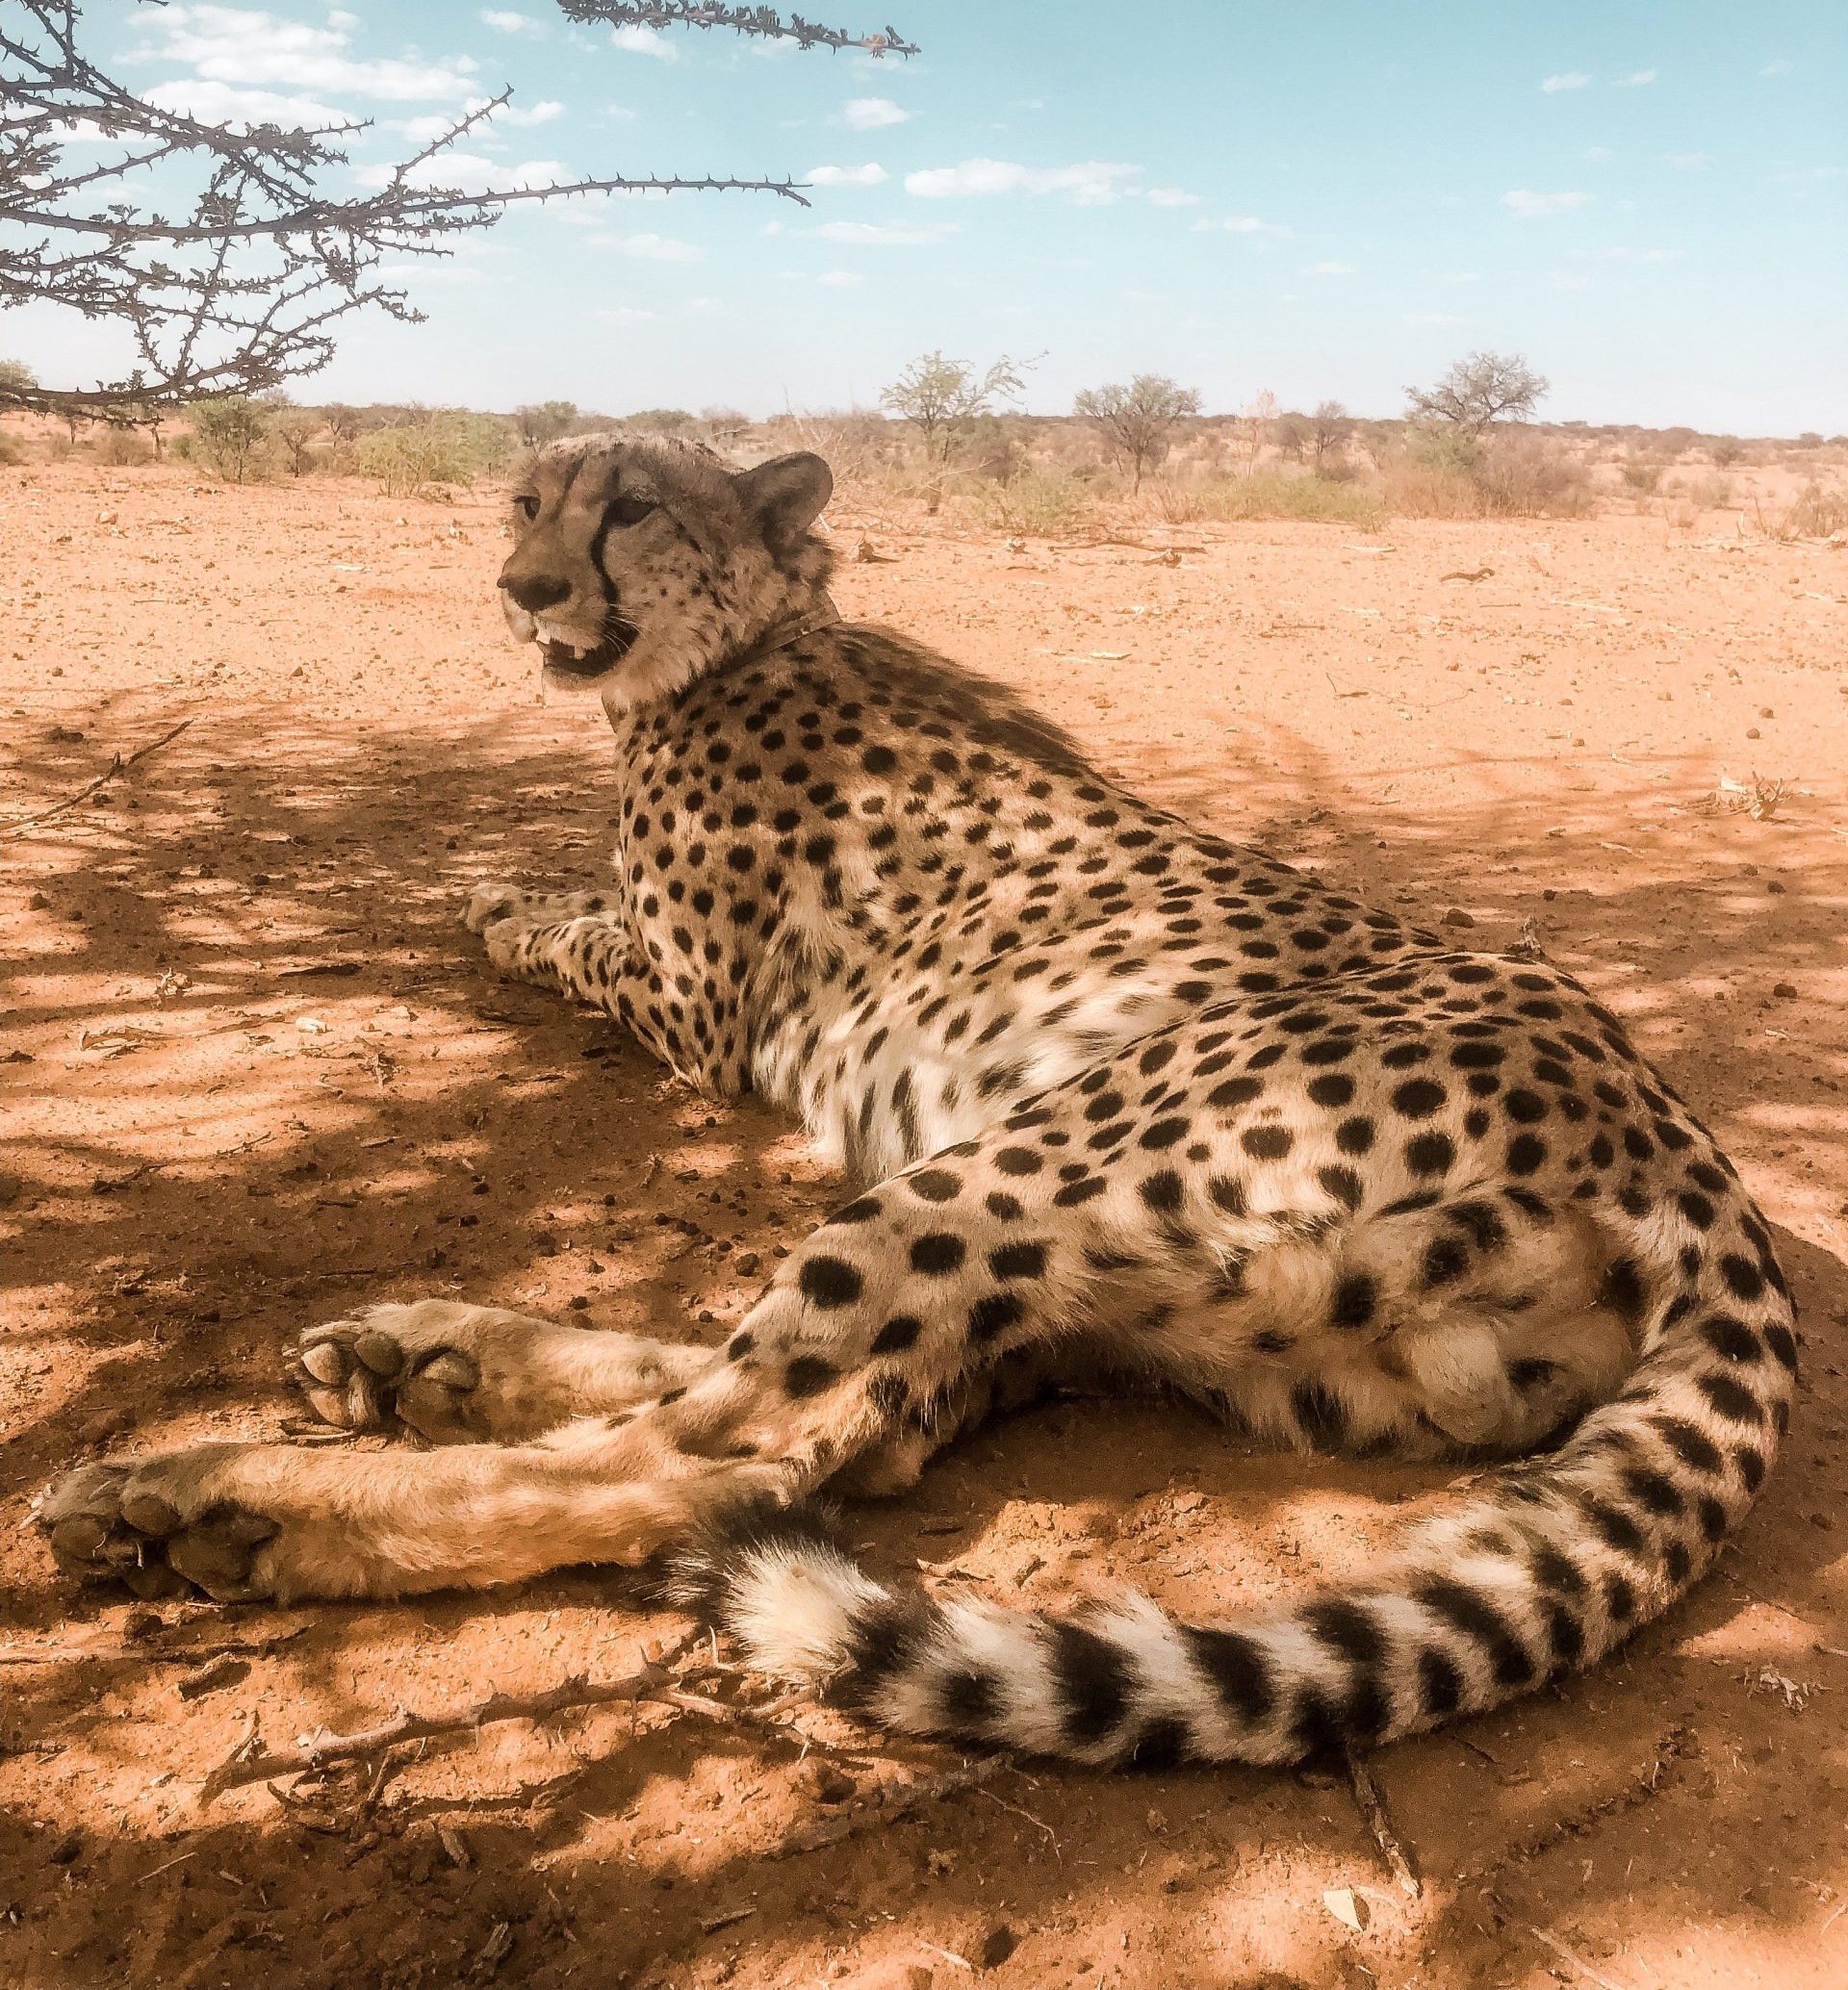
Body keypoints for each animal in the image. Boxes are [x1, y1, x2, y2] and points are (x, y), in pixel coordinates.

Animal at [39, 433, 1797, 1771]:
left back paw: (219, 1498)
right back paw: (426, 1357)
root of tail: (1689, 1158)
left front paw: (491, 900)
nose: (524, 587)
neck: (758, 631)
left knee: (727, 1454)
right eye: (524, 500)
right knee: (861, 1418)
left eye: (630, 508)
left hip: (1033, 1164)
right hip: (1193, 1304)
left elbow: (566, 925)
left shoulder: (694, 1012)